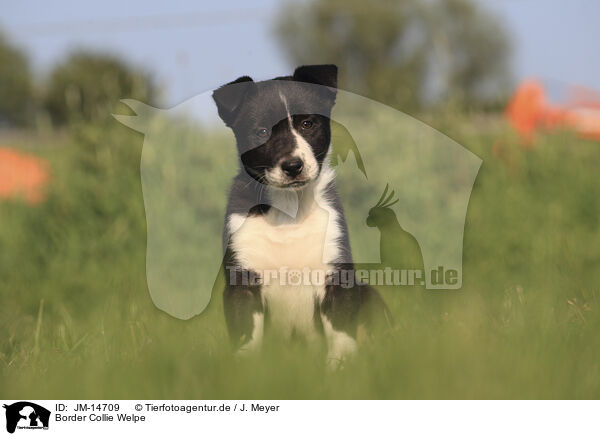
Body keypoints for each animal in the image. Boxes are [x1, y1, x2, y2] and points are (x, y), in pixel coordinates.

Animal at [213, 63, 382, 364]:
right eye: (261, 131)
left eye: (307, 124)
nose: (293, 166)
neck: (289, 210)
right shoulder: (242, 280)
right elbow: (247, 334)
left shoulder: (335, 274)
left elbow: (341, 332)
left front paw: (341, 367)